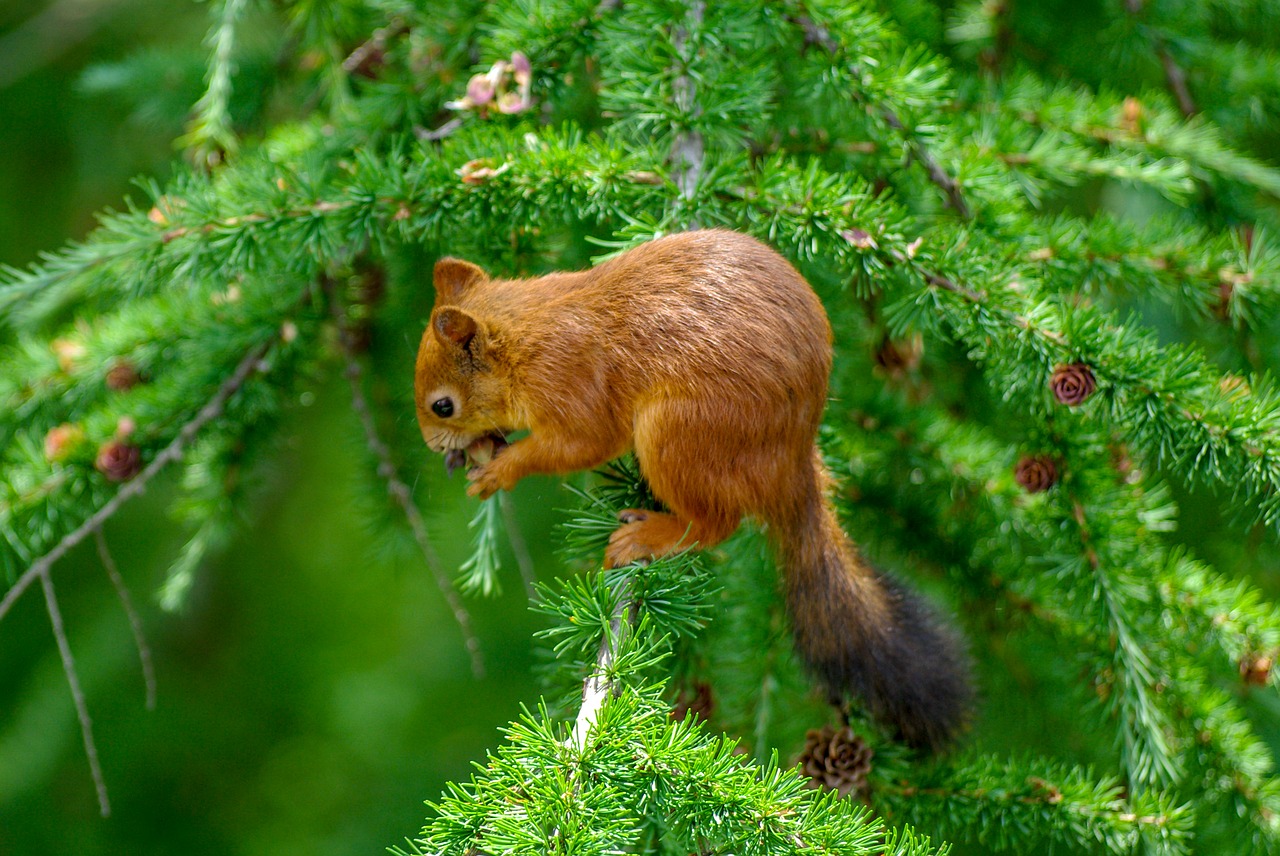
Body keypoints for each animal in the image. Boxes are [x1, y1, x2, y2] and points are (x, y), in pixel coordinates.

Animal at [417, 226, 967, 747]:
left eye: (443, 405)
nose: (433, 446)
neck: (524, 332)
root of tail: (790, 467)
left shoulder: (570, 383)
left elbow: (581, 444)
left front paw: (499, 470)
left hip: (677, 435)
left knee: (716, 523)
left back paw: (651, 535)